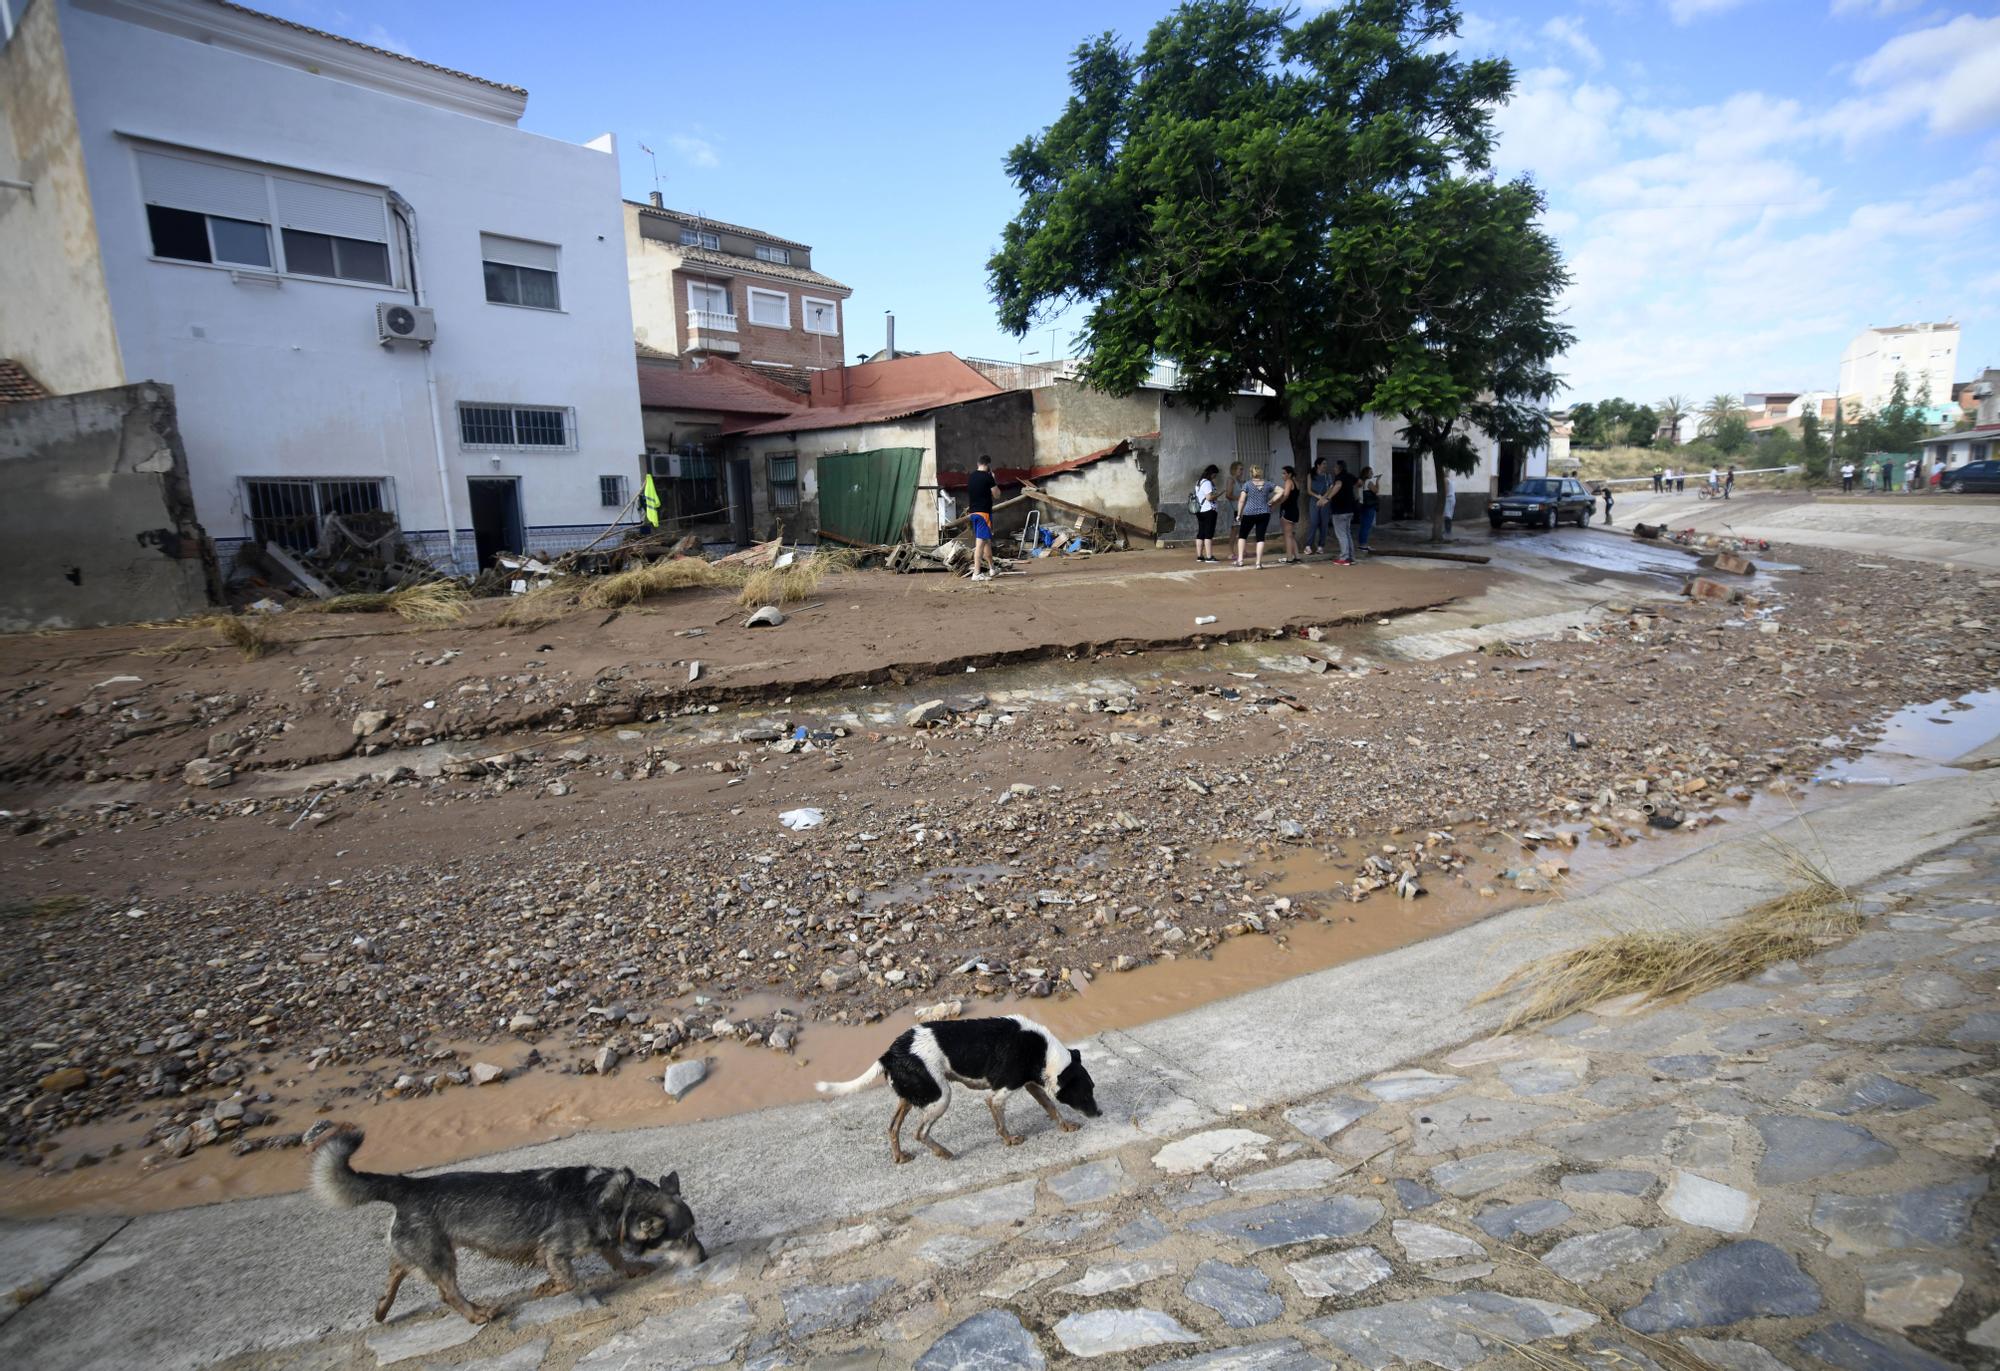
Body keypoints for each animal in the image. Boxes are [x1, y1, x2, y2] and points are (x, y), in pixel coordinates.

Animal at [812, 1015, 1104, 1167]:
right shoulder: (998, 1094)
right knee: (920, 1132)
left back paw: (899, 1156)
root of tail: (889, 1054)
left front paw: (1065, 1126)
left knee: (893, 1127)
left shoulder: (1031, 1085)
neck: (1042, 1052)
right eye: (1086, 1092)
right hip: (940, 1097)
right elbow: (1001, 1122)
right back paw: (944, 1153)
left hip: (914, 1095)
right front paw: (1009, 1141)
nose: (1100, 1113)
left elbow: (1051, 1107)